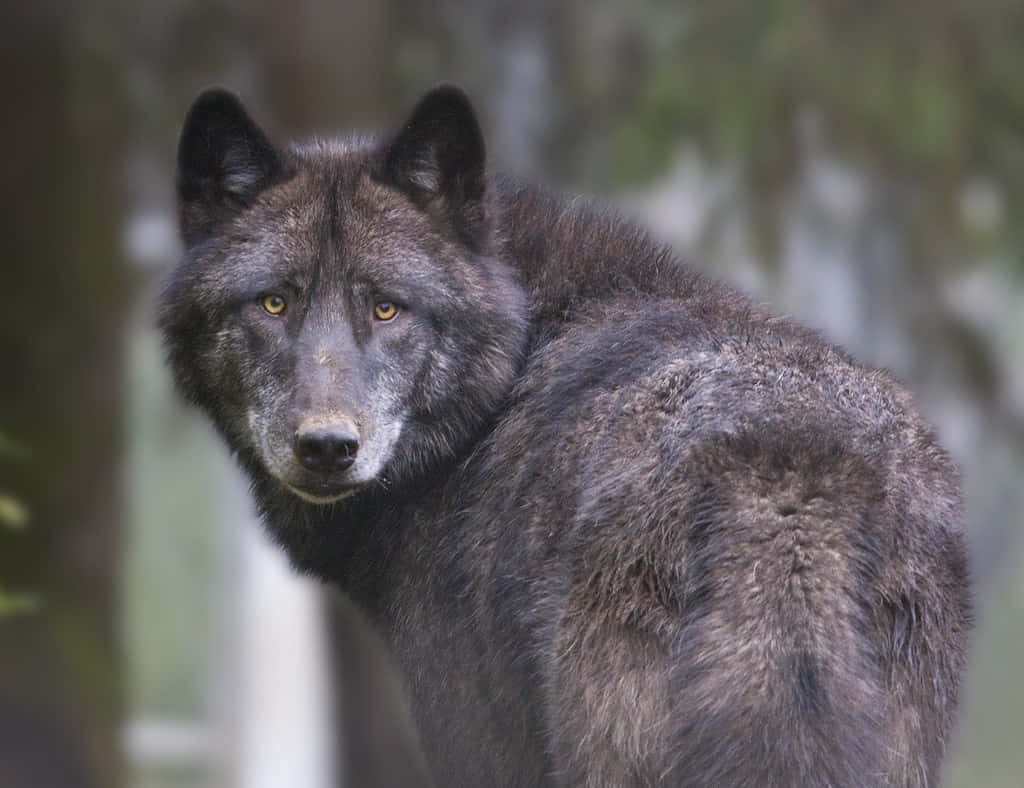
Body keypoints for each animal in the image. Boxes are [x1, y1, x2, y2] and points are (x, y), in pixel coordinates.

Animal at [159, 85, 966, 785]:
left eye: (388, 309)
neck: (514, 356)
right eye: (274, 303)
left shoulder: (474, 741)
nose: (327, 448)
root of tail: (788, 481)